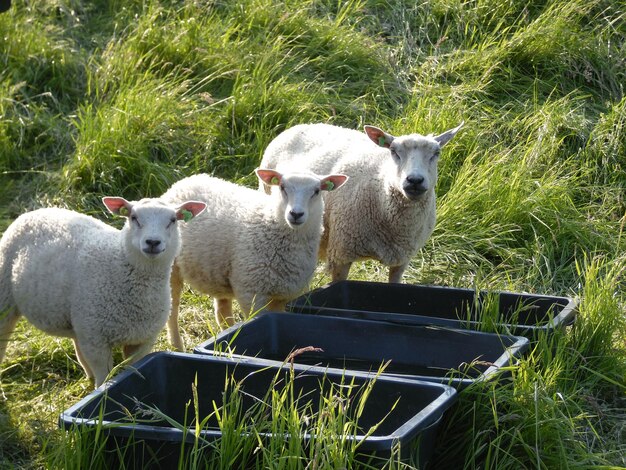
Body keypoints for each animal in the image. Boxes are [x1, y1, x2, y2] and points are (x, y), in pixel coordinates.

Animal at [0, 196, 206, 388]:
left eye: (173, 220)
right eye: (133, 217)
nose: (153, 242)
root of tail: (35, 211)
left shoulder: (142, 339)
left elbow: (134, 368)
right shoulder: (96, 340)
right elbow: (104, 377)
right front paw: (102, 393)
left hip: (78, 319)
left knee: (78, 345)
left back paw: (88, 376)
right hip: (6, 298)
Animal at [161, 169, 346, 348]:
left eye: (316, 191)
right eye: (282, 187)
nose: (295, 214)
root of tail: (186, 181)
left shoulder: (283, 295)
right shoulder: (251, 291)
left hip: (217, 268)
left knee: (222, 311)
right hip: (172, 270)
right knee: (172, 311)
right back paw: (177, 345)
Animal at [260, 122, 464, 282]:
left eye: (436, 152)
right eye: (393, 151)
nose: (414, 180)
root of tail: (300, 125)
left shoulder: (402, 260)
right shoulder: (341, 253)